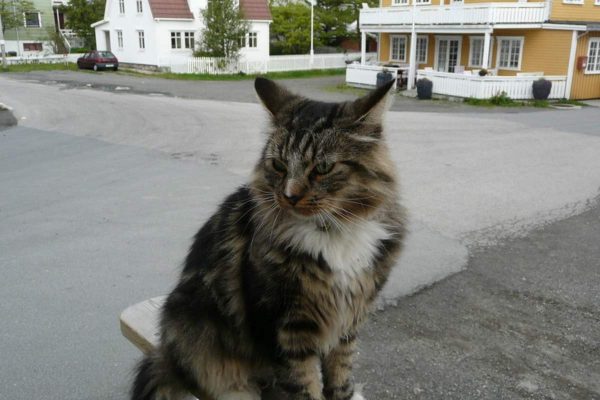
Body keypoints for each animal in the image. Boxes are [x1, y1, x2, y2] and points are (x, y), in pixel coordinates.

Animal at [133, 78, 406, 400]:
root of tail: (166, 353)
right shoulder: (283, 326)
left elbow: (340, 373)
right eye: (279, 165)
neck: (332, 232)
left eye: (323, 168)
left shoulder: (349, 320)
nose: (290, 196)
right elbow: (302, 385)